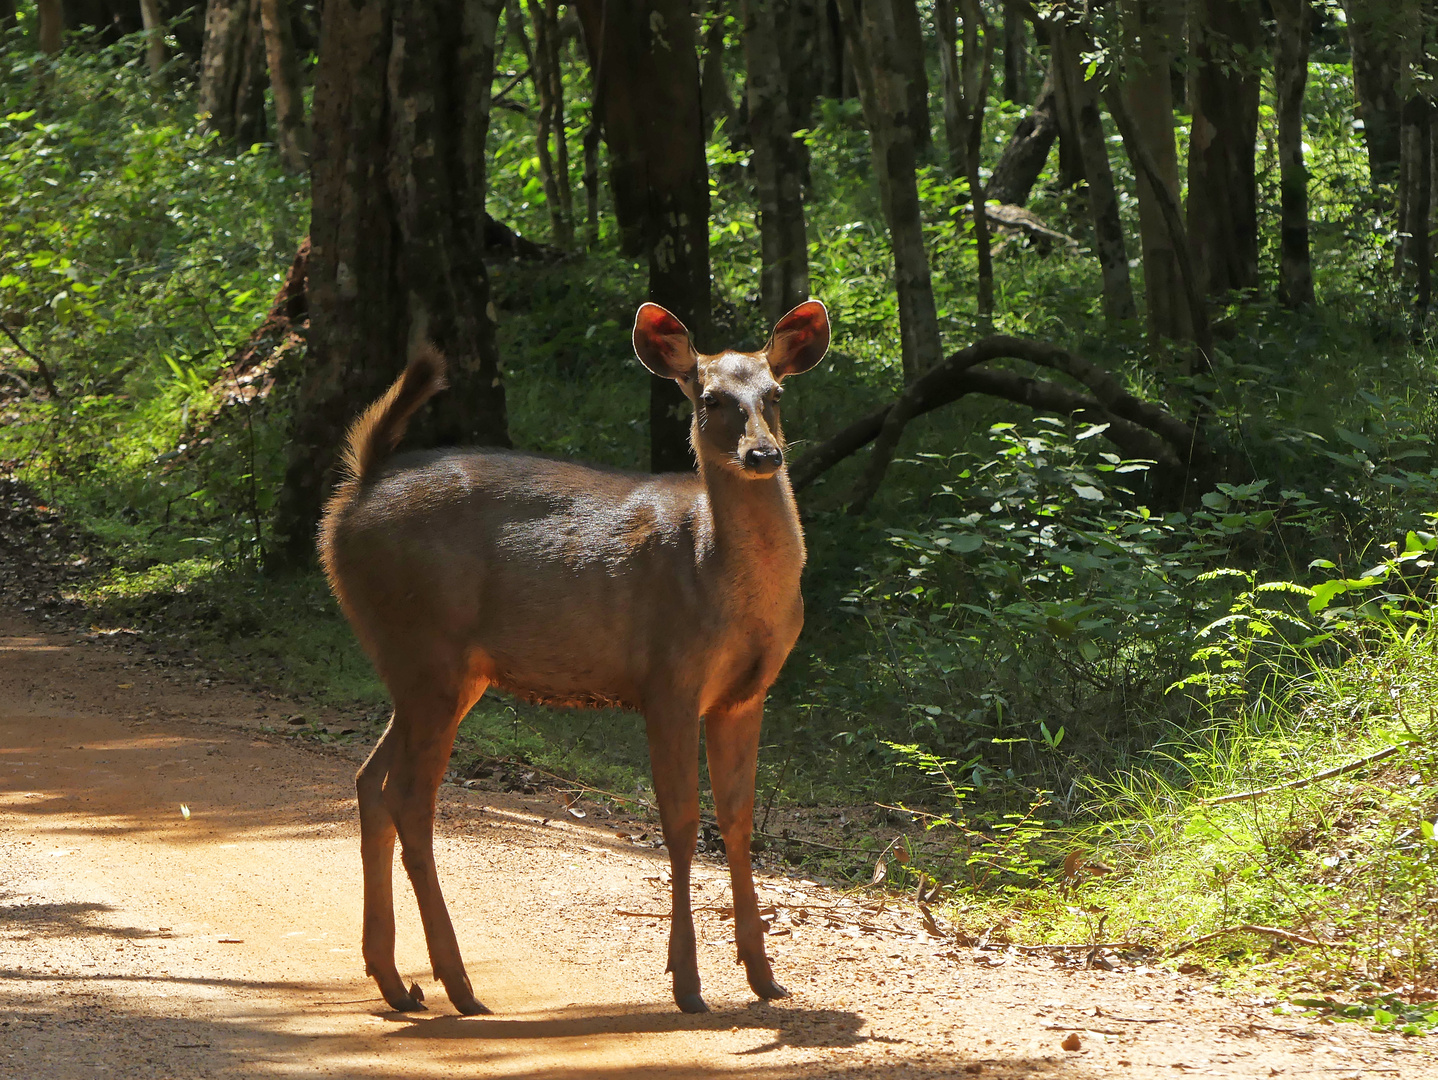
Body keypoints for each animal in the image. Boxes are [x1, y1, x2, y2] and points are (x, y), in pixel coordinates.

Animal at [319, 300, 828, 1018]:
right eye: (709, 398)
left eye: (775, 393)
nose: (764, 453)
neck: (715, 569)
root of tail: (353, 491)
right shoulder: (669, 678)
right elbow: (681, 824)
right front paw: (687, 982)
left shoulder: (745, 694)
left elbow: (737, 820)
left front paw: (764, 976)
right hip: (426, 649)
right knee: (408, 797)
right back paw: (459, 985)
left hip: (441, 671)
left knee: (370, 780)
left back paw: (397, 982)